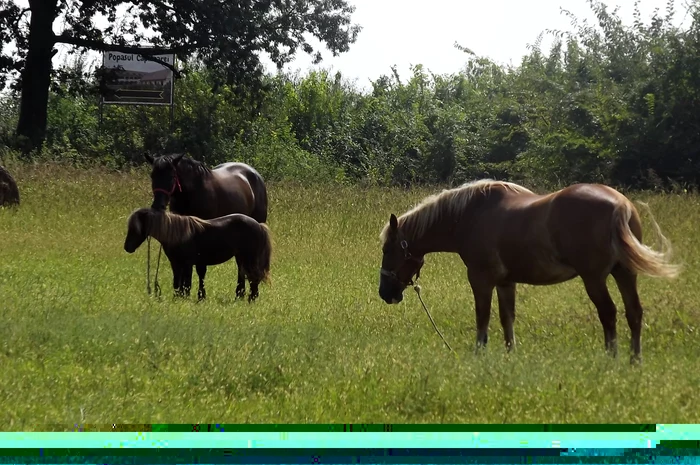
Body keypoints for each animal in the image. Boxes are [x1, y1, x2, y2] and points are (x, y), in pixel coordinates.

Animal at [123, 207, 270, 300]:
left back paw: (252, 298)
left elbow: (187, 283)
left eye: (136, 228)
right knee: (244, 276)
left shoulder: (187, 263)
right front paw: (177, 298)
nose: (127, 247)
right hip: (241, 258)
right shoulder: (176, 263)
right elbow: (177, 282)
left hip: (249, 258)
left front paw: (186, 299)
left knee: (254, 277)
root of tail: (259, 225)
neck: (178, 234)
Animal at [144, 152, 268, 298]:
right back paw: (240, 293)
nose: (158, 205)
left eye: (172, 176)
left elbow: (200, 268)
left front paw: (200, 295)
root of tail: (254, 174)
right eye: (152, 175)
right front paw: (184, 292)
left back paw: (241, 292)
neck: (192, 192)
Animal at [380, 179, 680, 360]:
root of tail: (620, 205)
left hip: (594, 279)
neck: (469, 215)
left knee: (608, 313)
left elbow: (482, 317)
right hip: (624, 274)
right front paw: (510, 355)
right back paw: (634, 360)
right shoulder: (505, 282)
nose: (385, 293)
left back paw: (611, 358)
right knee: (634, 312)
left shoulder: (480, 279)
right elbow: (507, 318)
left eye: (387, 250)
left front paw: (479, 354)